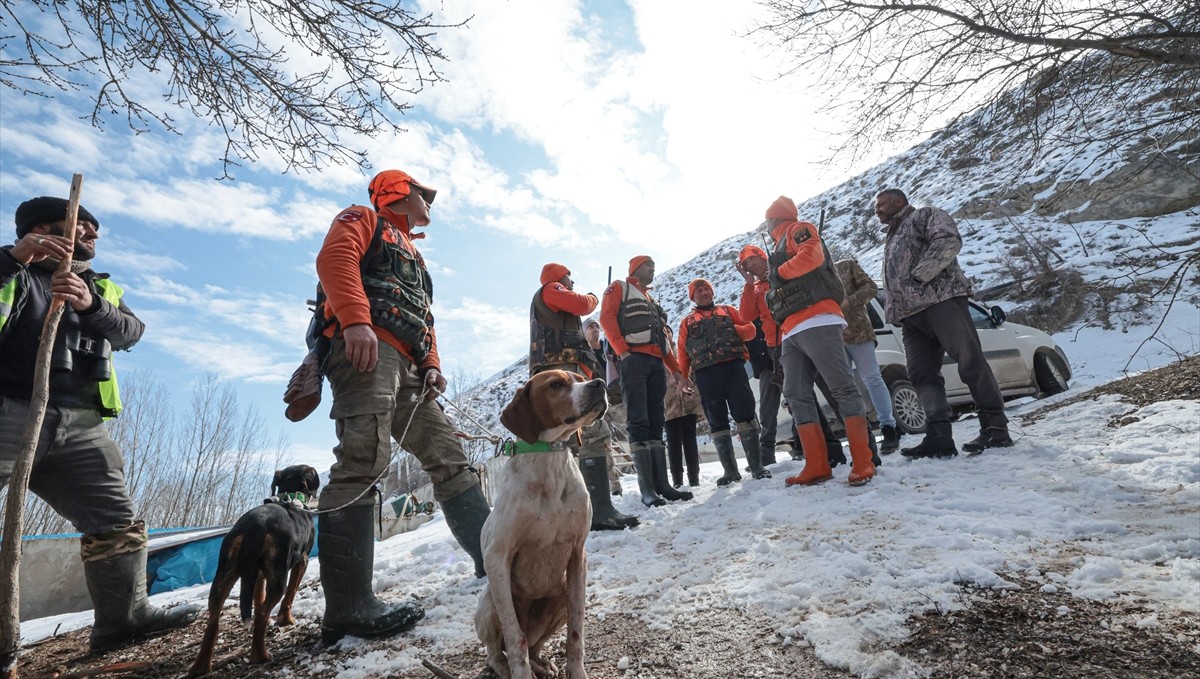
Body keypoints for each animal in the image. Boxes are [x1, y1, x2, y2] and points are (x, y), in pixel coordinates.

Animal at [187, 465, 321, 676]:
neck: (291, 496)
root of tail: (255, 526)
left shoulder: (257, 575)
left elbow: (258, 599)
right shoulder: (303, 561)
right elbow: (290, 595)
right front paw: (286, 620)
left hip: (224, 574)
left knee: (214, 622)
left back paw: (200, 667)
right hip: (278, 575)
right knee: (263, 615)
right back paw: (260, 656)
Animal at [472, 371, 609, 679]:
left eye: (580, 377)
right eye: (556, 385)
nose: (600, 384)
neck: (549, 460)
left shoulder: (578, 556)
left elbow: (576, 633)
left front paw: (577, 671)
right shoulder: (497, 558)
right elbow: (515, 638)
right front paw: (520, 674)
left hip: (560, 593)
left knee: (534, 645)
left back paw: (541, 664)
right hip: (491, 604)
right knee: (497, 652)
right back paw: (506, 667)